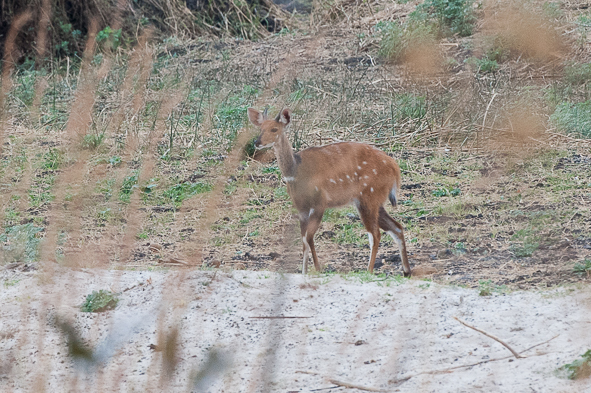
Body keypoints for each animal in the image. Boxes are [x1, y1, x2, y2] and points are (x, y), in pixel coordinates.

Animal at [249, 105, 412, 274]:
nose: (257, 142)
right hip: (373, 201)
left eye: (274, 129)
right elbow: (303, 240)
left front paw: (317, 269)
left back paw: (369, 271)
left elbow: (308, 237)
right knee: (396, 227)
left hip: (369, 197)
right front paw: (304, 271)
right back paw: (406, 271)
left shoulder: (320, 202)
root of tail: (394, 167)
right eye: (260, 128)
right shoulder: (301, 208)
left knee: (375, 234)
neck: (295, 172)